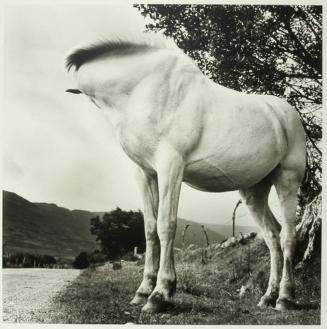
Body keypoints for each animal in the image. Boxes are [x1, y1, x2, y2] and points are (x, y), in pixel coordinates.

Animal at [66, 34, 308, 312]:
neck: (143, 86)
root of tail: (288, 115)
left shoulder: (170, 166)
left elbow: (166, 224)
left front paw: (159, 294)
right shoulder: (145, 173)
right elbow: (150, 229)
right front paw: (144, 291)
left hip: (287, 180)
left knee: (288, 236)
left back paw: (284, 297)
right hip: (253, 192)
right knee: (272, 235)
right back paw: (268, 296)